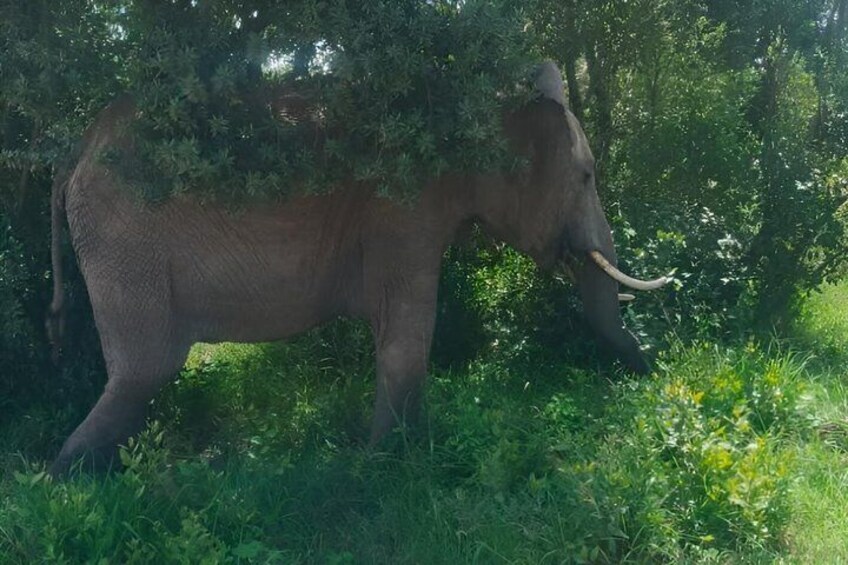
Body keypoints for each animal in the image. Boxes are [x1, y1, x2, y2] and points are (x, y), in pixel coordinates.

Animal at [46, 61, 669, 476]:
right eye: (587, 177)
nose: (651, 373)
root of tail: (74, 152)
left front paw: (397, 451)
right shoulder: (401, 209)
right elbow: (408, 334)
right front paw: (383, 463)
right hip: (126, 241)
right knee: (145, 369)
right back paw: (68, 482)